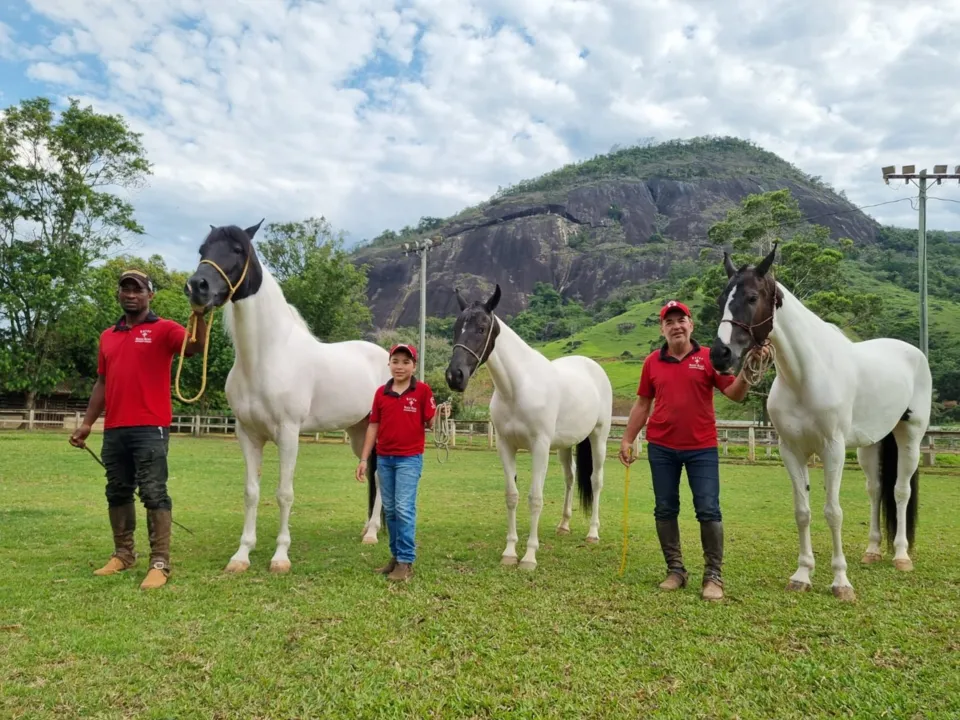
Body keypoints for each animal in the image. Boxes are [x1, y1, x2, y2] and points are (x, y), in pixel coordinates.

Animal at [186, 221, 388, 572]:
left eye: (237, 250)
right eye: (203, 250)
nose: (197, 286)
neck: (266, 357)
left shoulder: (289, 433)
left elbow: (284, 493)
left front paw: (281, 556)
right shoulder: (247, 434)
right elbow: (251, 492)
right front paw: (241, 555)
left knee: (379, 476)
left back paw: (373, 534)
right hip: (359, 433)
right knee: (372, 474)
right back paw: (367, 529)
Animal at [444, 284, 612, 572]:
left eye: (481, 327)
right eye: (456, 327)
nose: (455, 376)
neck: (517, 388)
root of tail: (592, 366)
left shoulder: (539, 446)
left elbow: (535, 498)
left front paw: (529, 556)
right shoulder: (505, 446)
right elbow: (512, 496)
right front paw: (510, 552)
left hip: (598, 437)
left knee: (595, 480)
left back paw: (592, 533)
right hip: (565, 445)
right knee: (570, 478)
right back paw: (563, 525)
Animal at [712, 248, 928, 600]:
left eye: (752, 296)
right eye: (721, 299)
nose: (721, 354)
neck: (806, 375)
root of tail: (914, 353)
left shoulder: (833, 450)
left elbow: (833, 512)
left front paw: (841, 581)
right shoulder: (791, 450)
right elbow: (803, 512)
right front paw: (802, 574)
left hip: (910, 437)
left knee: (900, 491)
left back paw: (900, 555)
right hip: (870, 445)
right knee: (875, 490)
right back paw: (872, 551)